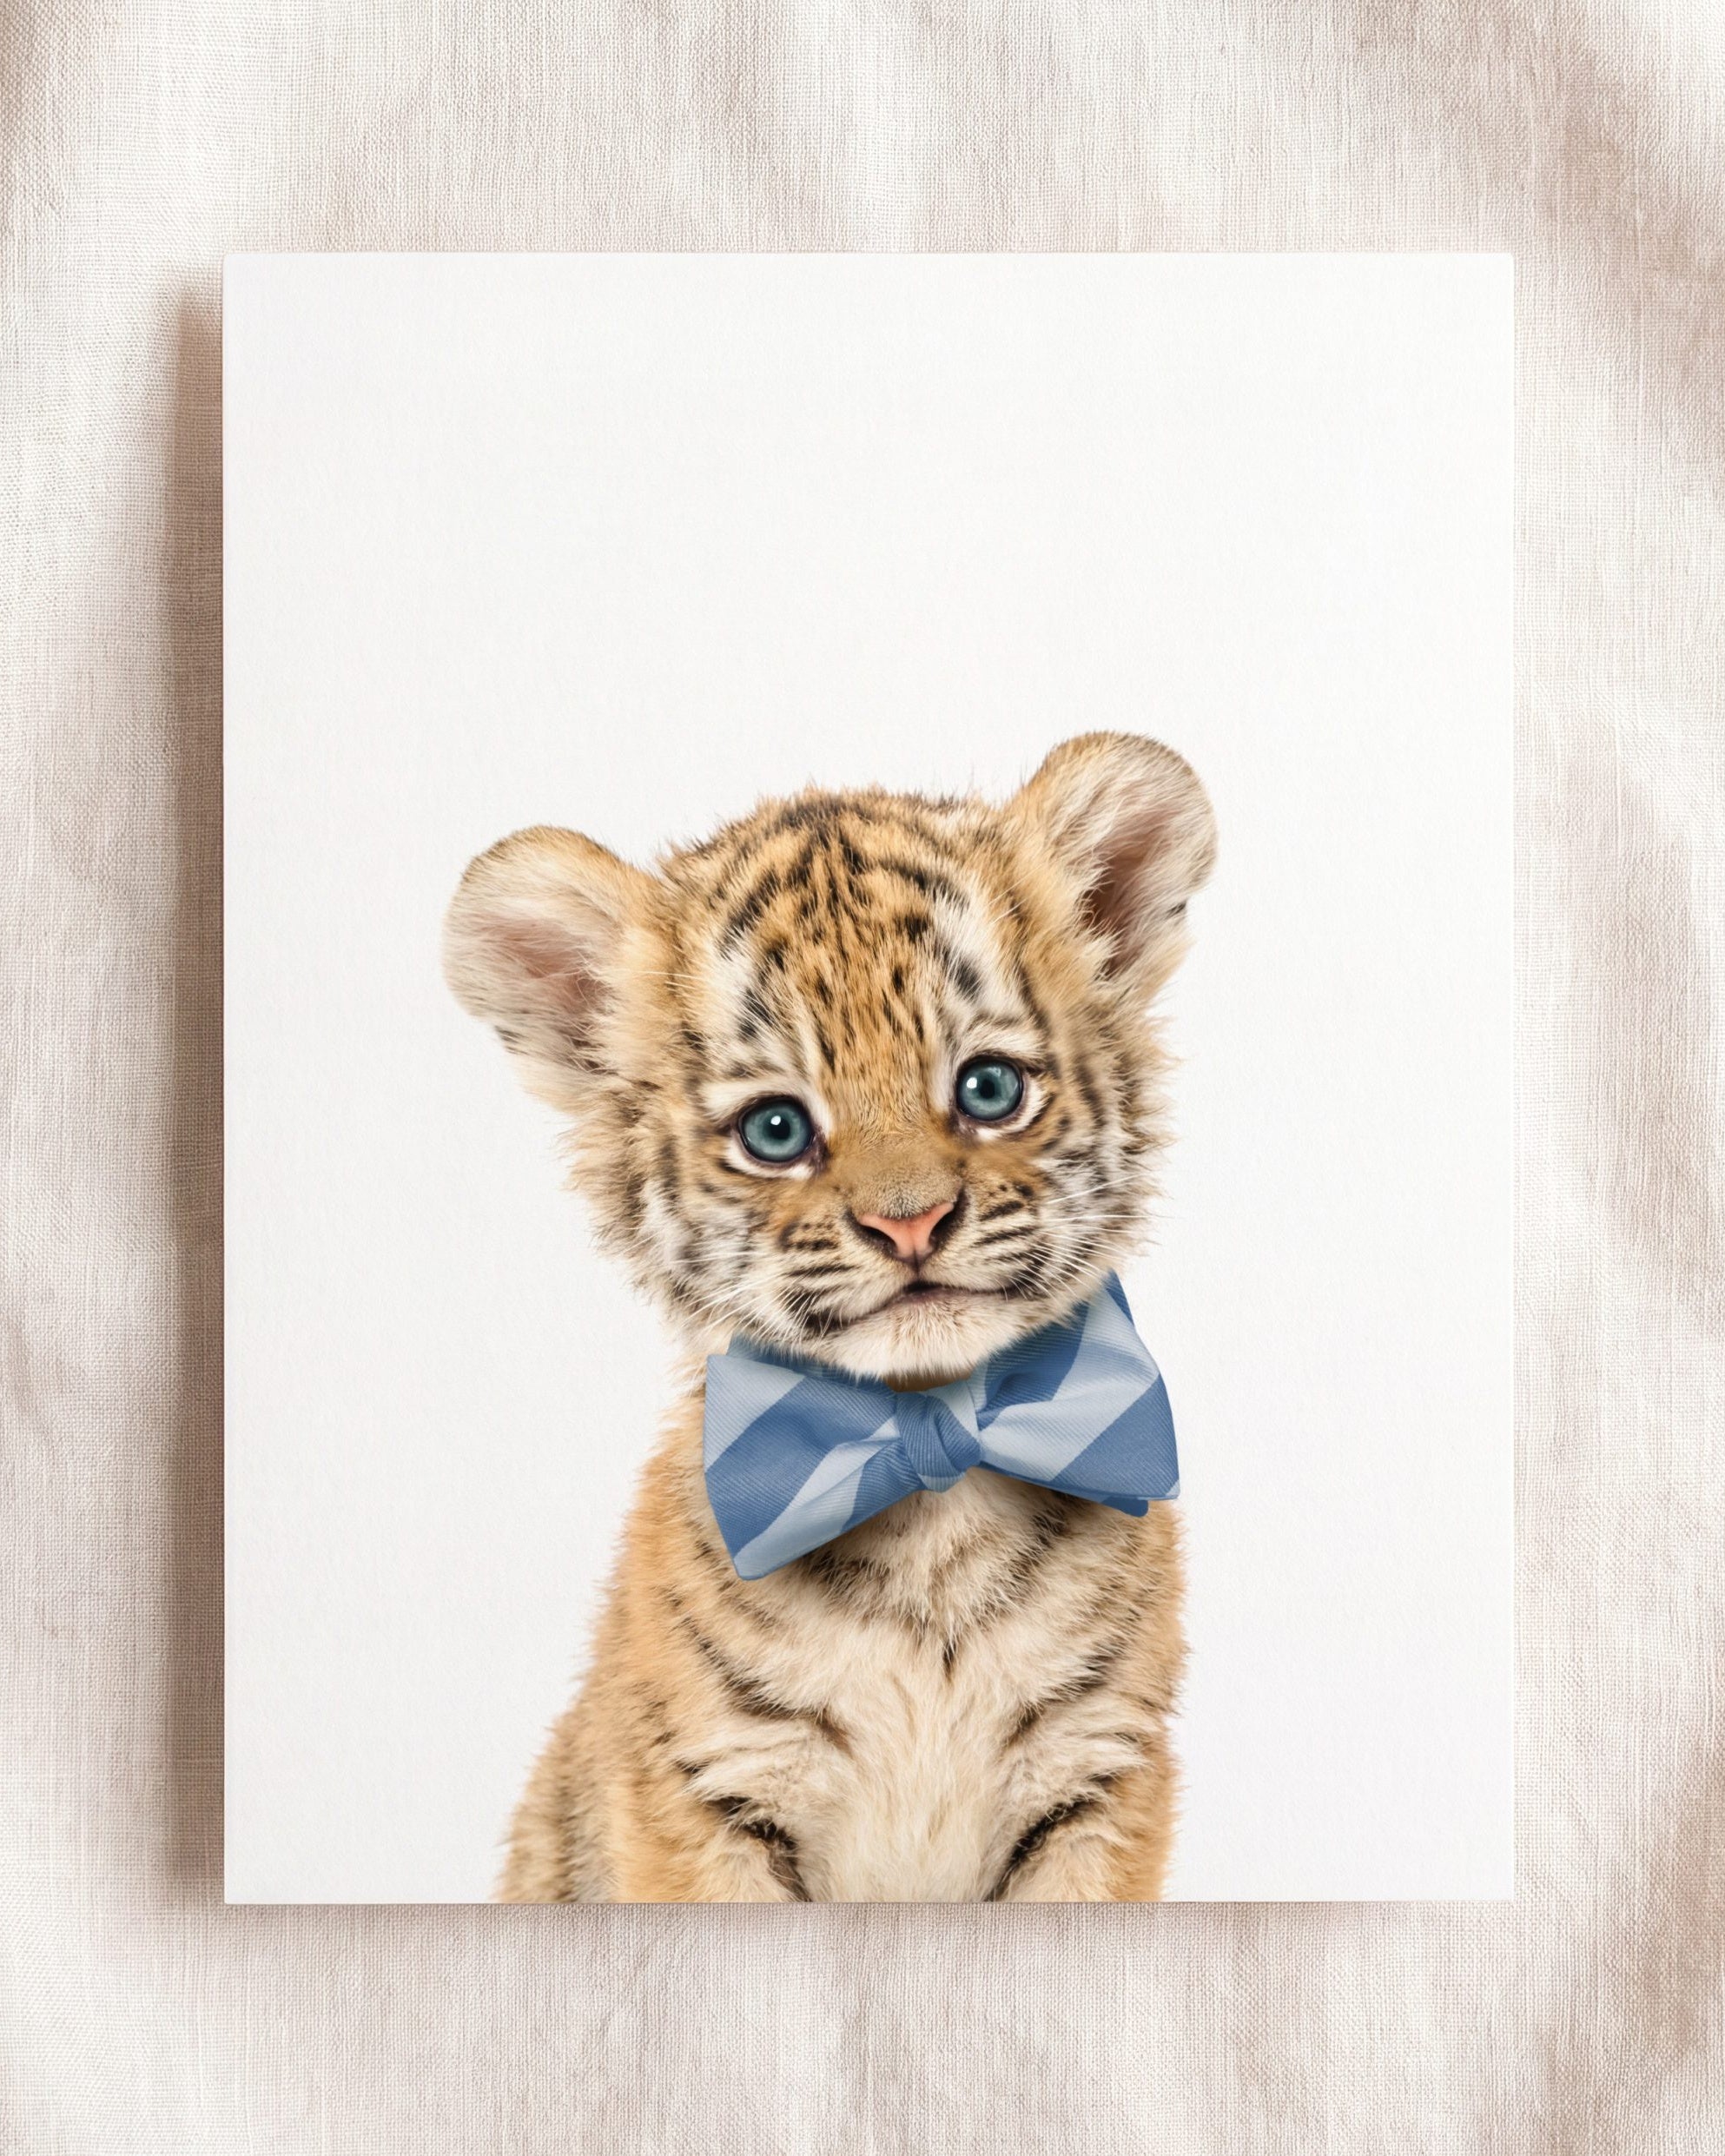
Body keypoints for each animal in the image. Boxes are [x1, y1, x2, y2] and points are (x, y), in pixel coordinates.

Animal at [444, 731, 1216, 1901]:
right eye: (776, 1129)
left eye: (989, 1089)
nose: (911, 1223)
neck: (930, 1489)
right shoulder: (704, 1796)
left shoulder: (1098, 1776)